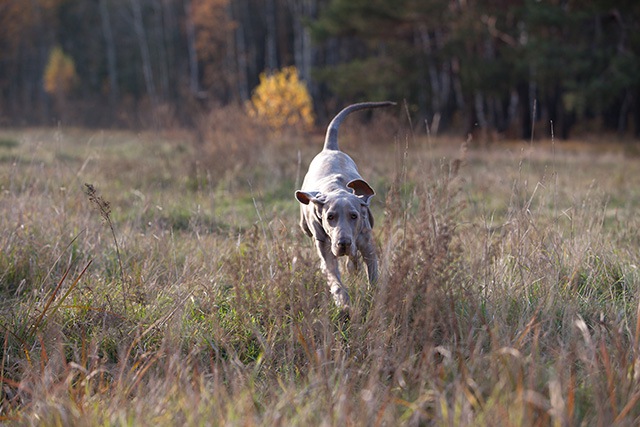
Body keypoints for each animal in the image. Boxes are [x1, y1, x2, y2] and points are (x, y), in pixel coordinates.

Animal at [296, 101, 396, 308]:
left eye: (354, 216)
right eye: (330, 217)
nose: (343, 243)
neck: (335, 189)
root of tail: (329, 149)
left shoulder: (367, 243)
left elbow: (372, 271)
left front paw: (373, 296)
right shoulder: (325, 248)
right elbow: (334, 279)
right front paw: (344, 304)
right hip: (305, 227)